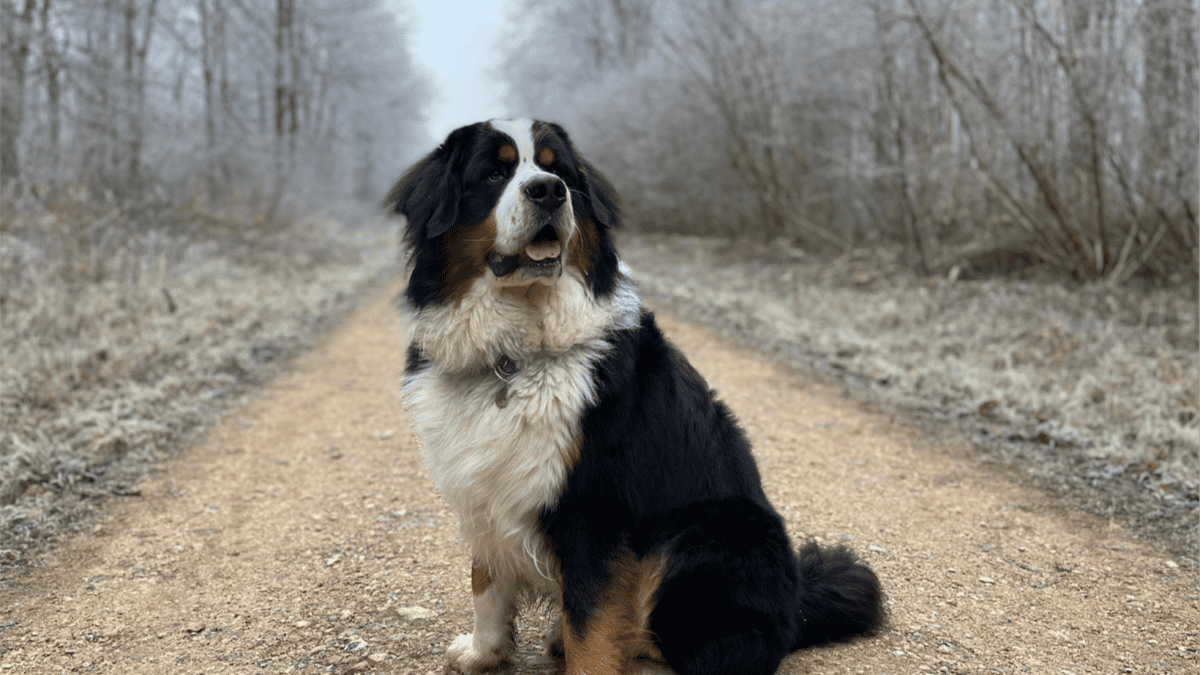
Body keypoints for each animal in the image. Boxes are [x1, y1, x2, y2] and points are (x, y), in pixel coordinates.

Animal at [388, 118, 888, 667]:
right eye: (494, 173)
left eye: (561, 172)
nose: (549, 191)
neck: (514, 356)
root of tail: (796, 605)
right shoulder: (484, 486)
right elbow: (486, 582)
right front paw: (483, 652)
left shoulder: (594, 509)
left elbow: (592, 626)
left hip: (696, 537)